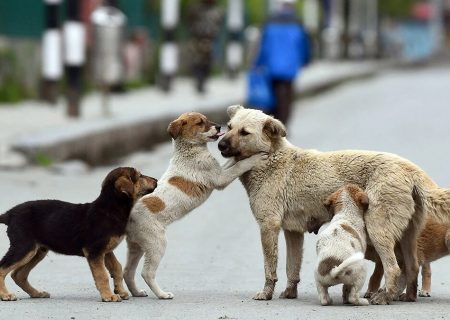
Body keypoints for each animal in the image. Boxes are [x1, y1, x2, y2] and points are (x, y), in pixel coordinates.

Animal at [0, 168, 158, 302]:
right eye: (140, 176)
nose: (156, 180)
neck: (110, 209)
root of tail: (9, 214)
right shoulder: (94, 251)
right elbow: (102, 275)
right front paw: (108, 296)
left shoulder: (106, 250)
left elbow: (117, 268)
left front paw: (120, 291)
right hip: (24, 247)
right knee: (3, 268)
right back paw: (5, 295)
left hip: (38, 251)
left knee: (18, 275)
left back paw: (37, 293)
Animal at [123, 112, 264, 300]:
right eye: (200, 123)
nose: (219, 126)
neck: (189, 151)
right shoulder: (220, 178)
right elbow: (239, 165)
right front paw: (256, 157)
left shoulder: (219, 170)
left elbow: (232, 163)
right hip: (156, 243)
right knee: (146, 273)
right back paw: (162, 294)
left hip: (136, 246)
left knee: (127, 272)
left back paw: (137, 292)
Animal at [217, 105, 450, 304]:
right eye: (229, 127)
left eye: (244, 132)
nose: (220, 145)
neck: (272, 158)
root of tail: (410, 168)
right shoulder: (293, 232)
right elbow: (292, 267)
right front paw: (290, 292)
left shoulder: (268, 226)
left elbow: (270, 267)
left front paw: (266, 293)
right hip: (407, 236)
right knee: (412, 266)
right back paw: (407, 296)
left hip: (378, 229)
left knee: (393, 268)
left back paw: (383, 297)